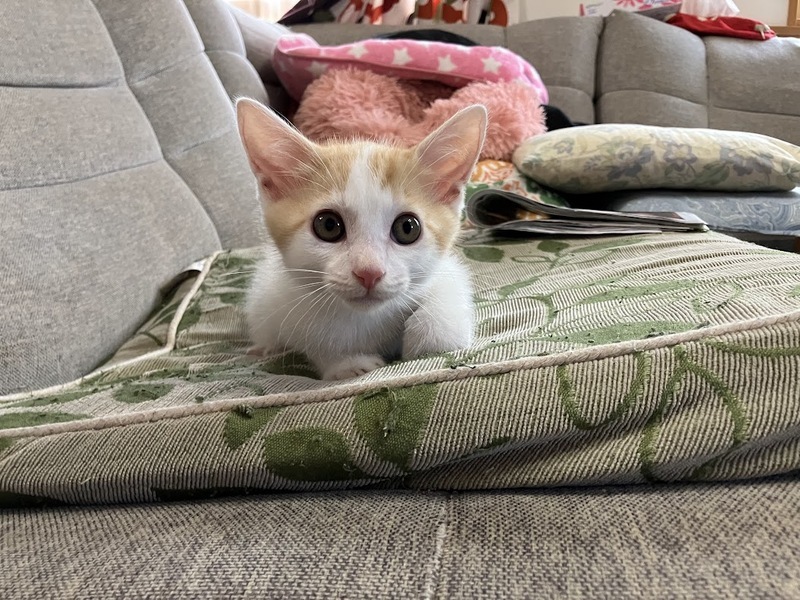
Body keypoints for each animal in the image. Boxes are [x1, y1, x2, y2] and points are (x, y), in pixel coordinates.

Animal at [236, 98, 486, 380]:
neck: (367, 318)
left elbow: (446, 306)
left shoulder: (447, 273)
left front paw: (428, 337)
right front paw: (346, 363)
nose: (369, 272)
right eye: (328, 225)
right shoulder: (289, 301)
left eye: (407, 228)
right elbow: (315, 337)